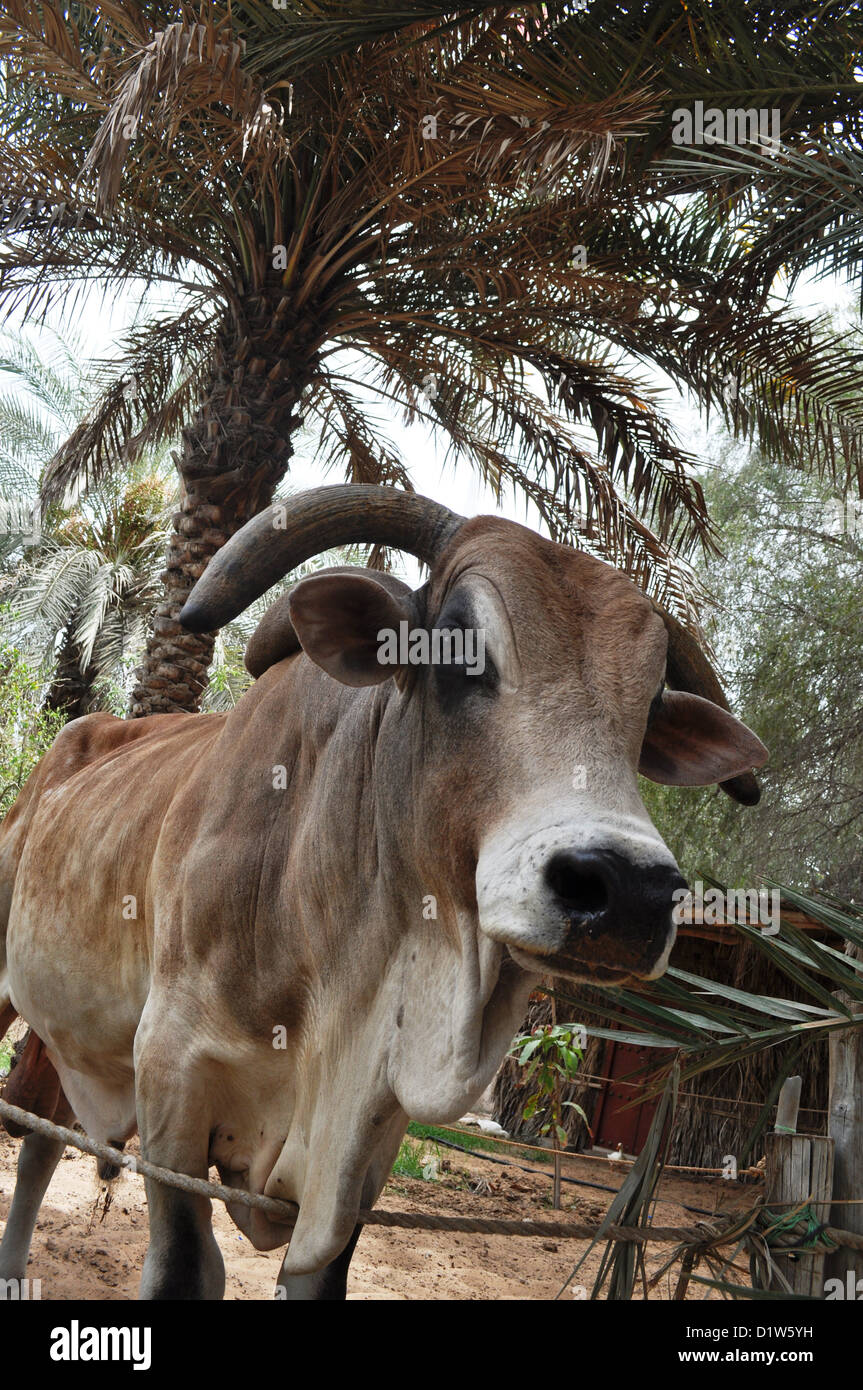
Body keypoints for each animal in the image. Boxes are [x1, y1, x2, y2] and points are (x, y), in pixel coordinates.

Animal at [0, 483, 767, 1295]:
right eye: (458, 649)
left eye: (649, 708)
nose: (627, 891)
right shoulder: (171, 1075)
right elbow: (183, 1262)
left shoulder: (365, 1148)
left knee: (41, 1127)